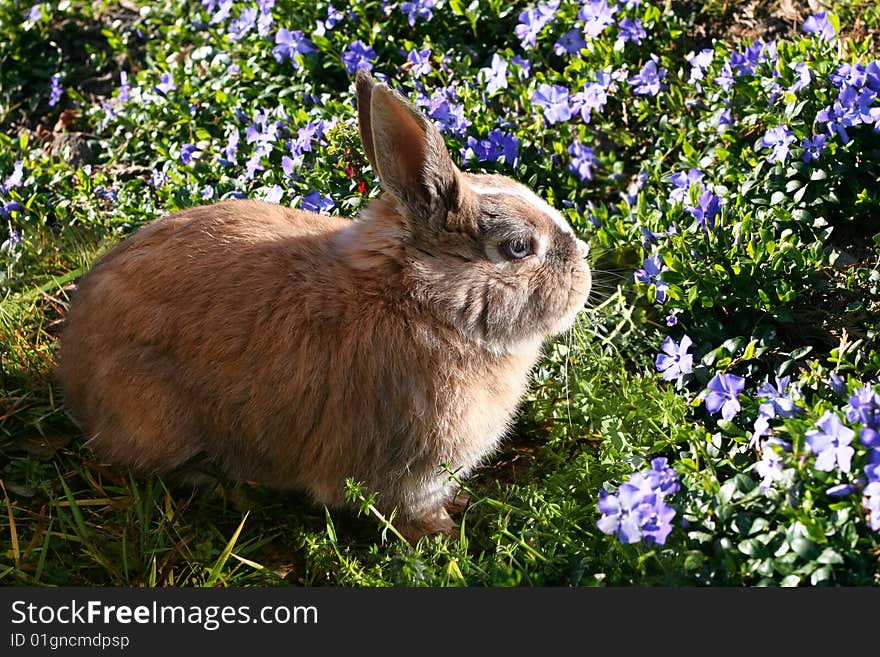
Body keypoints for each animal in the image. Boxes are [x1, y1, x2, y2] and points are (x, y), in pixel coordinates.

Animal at [55, 70, 592, 544]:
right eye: (519, 248)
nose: (584, 268)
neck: (422, 302)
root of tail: (74, 379)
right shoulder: (410, 470)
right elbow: (410, 509)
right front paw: (442, 535)